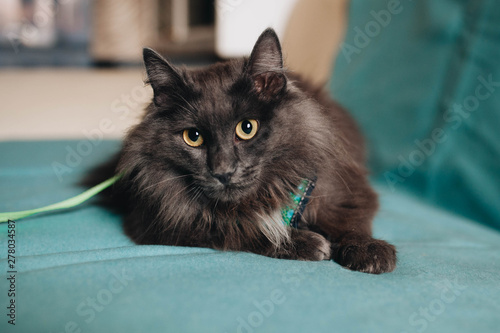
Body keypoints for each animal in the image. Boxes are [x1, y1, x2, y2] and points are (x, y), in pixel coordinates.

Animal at [103, 27, 396, 272]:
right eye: (193, 137)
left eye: (247, 128)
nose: (223, 172)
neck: (261, 197)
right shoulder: (160, 222)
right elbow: (239, 228)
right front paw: (304, 243)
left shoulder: (344, 190)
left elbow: (349, 222)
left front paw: (370, 251)